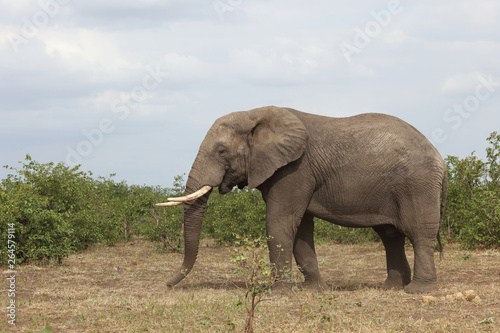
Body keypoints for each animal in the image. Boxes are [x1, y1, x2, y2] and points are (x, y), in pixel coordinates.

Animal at [156, 105, 446, 292]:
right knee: (390, 236)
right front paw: (314, 290)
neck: (255, 115)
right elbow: (301, 228)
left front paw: (279, 293)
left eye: (221, 151)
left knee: (419, 233)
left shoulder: (295, 169)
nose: (167, 285)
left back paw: (418, 291)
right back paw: (391, 288)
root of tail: (440, 158)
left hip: (417, 184)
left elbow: (280, 221)